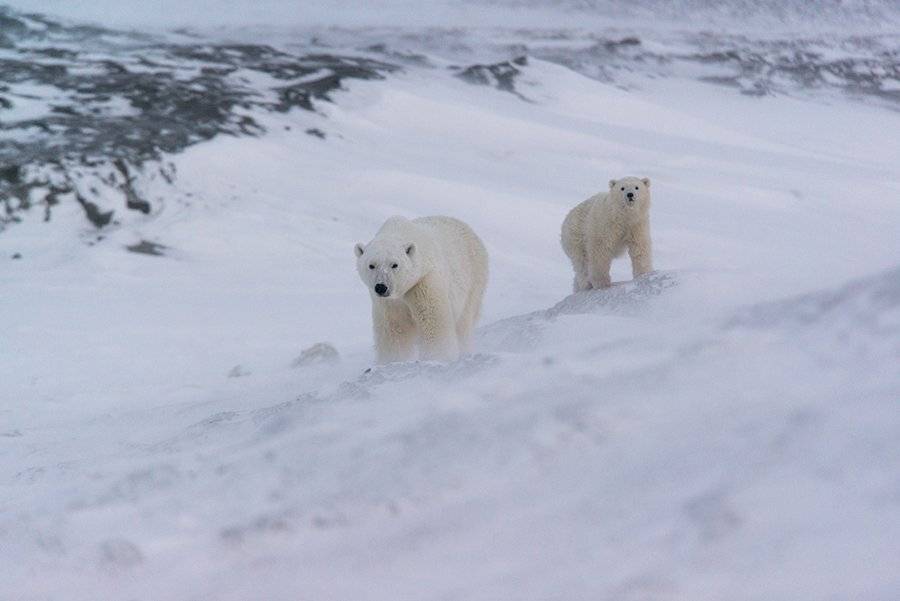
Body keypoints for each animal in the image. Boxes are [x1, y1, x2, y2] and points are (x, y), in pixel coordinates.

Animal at [354, 216, 489, 364]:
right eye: (371, 265)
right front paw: (393, 361)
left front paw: (437, 358)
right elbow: (394, 331)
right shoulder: (389, 303)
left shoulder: (423, 282)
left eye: (394, 264)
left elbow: (433, 323)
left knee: (463, 323)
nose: (381, 287)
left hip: (473, 279)